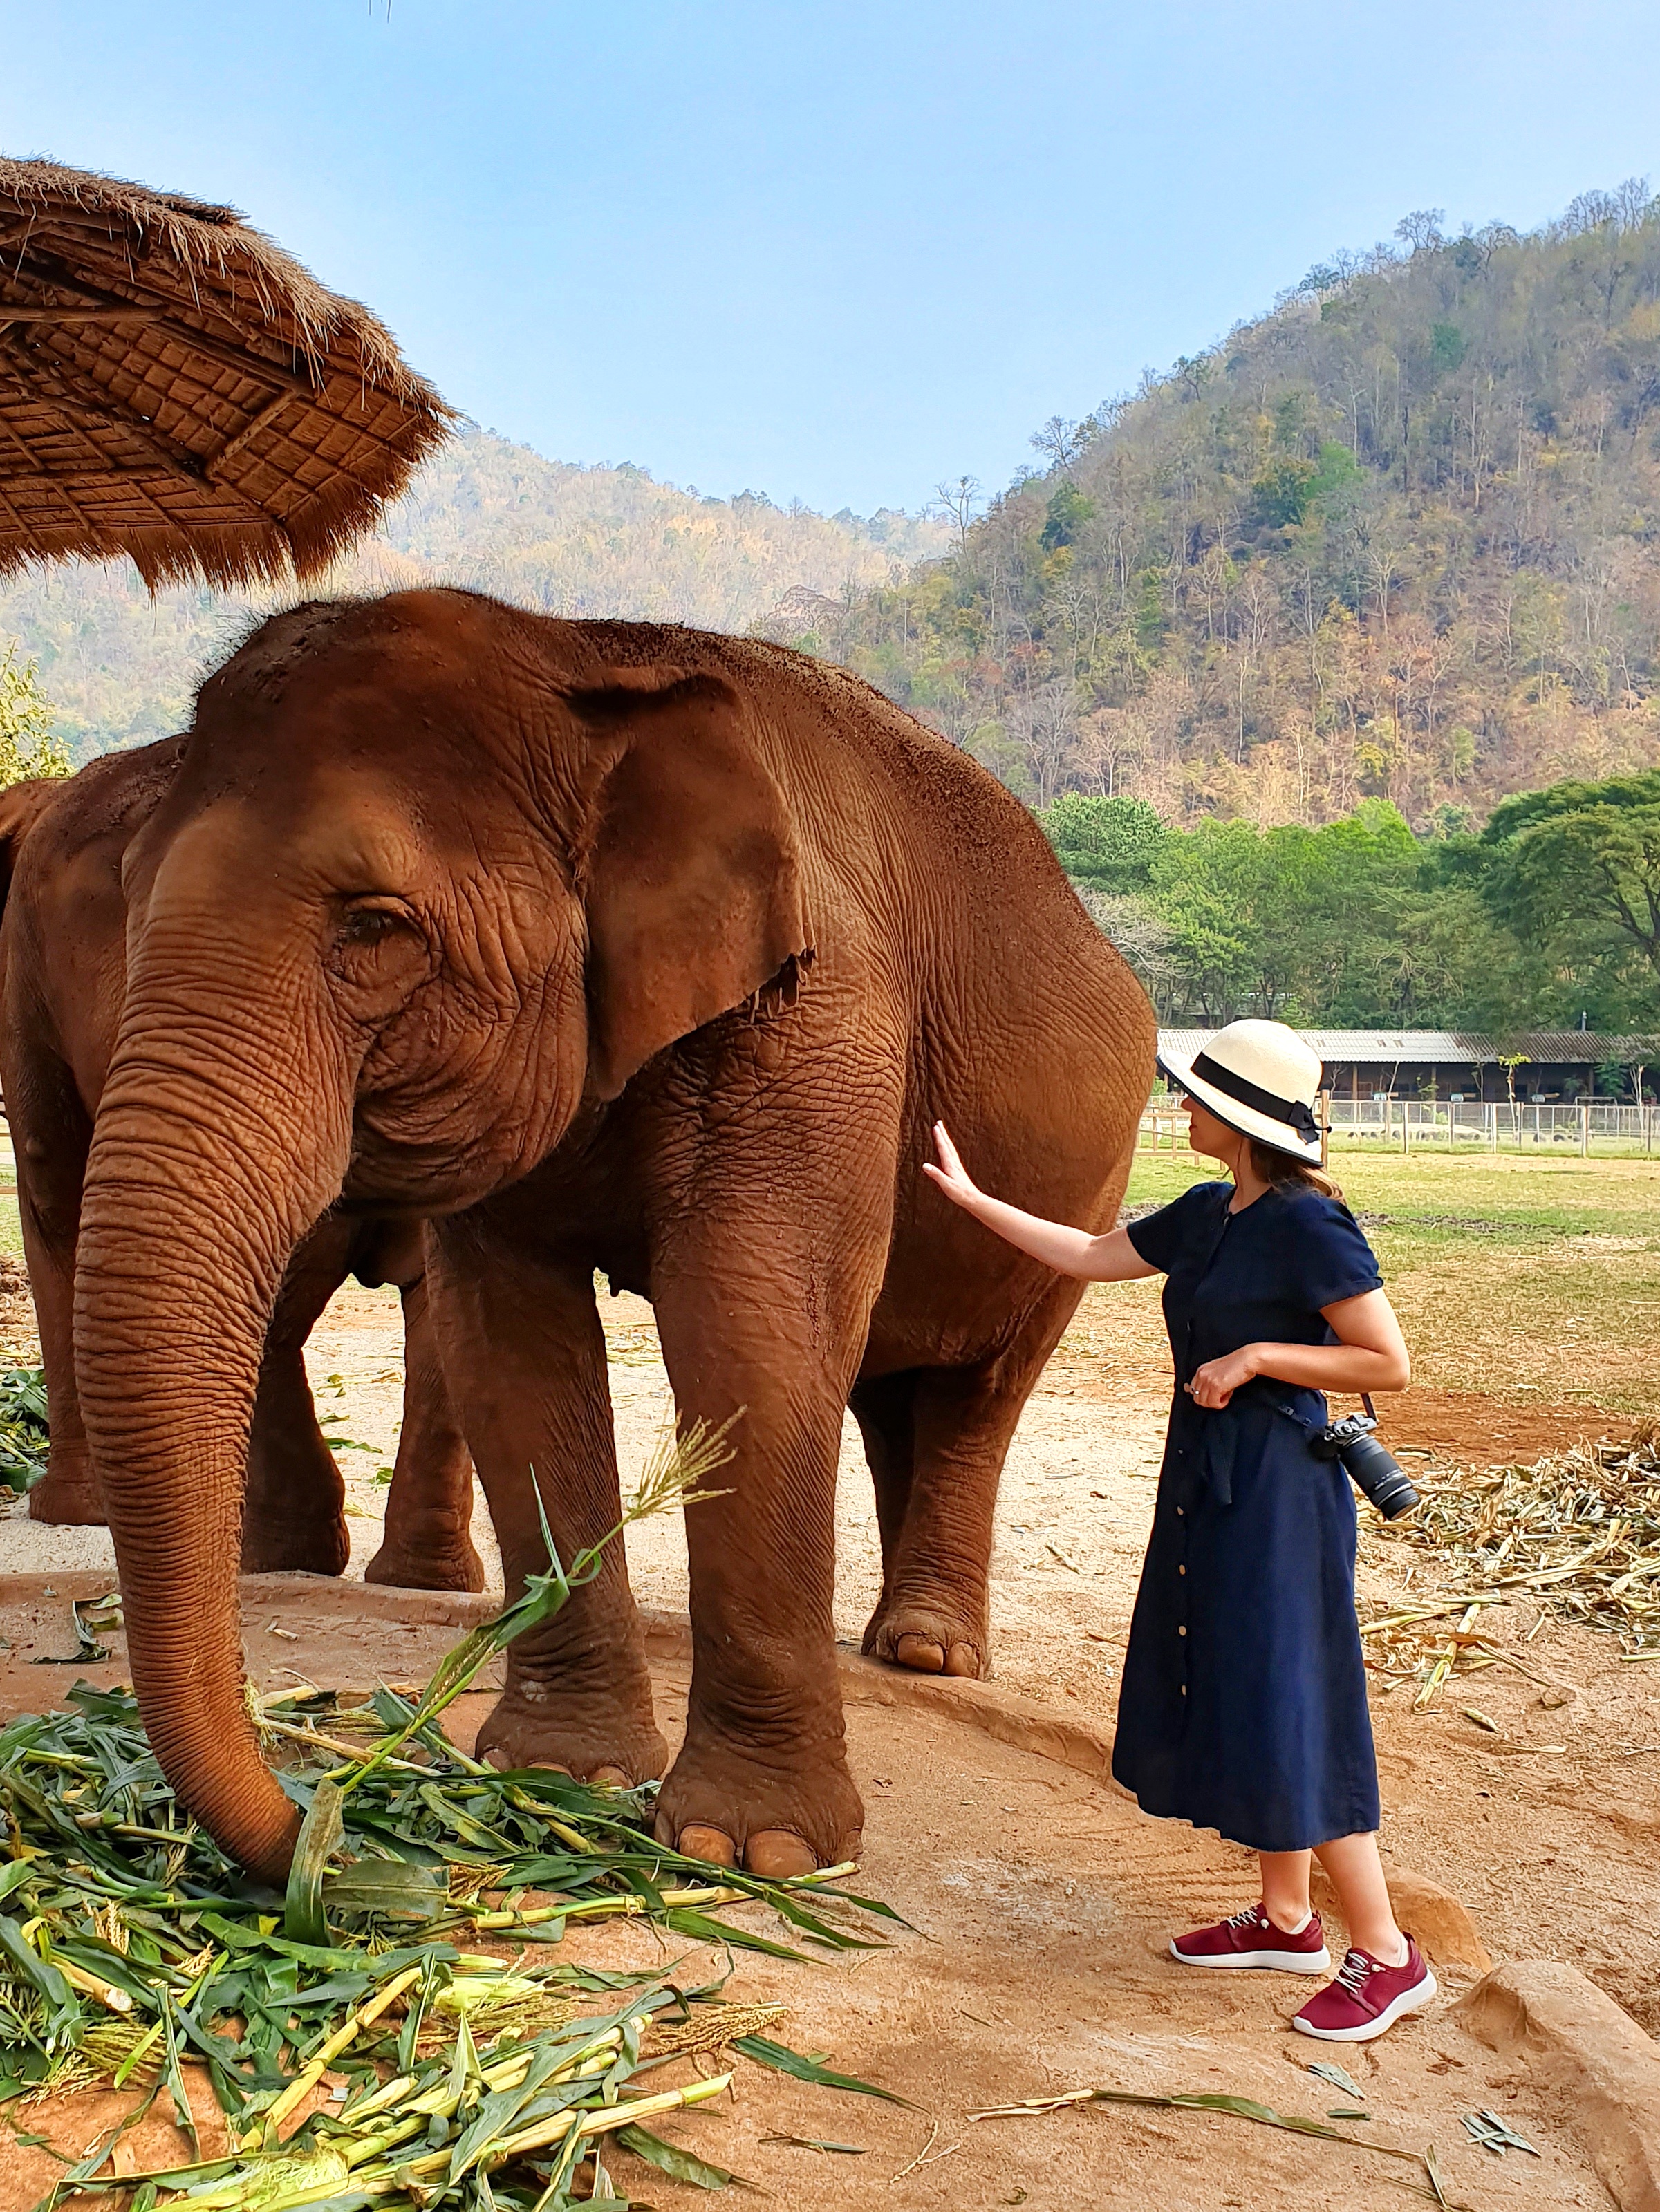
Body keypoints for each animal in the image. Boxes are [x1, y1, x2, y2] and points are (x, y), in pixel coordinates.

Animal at [68, 588, 1159, 1884]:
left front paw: (754, 1849)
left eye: (374, 926)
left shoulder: (820, 1020)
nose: (322, 1827)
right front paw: (563, 1777)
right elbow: (511, 1350)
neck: (582, 657)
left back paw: (930, 1652)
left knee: (978, 1394)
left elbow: (748, 1324)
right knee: (897, 1392)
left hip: (1088, 1195)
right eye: (131, 899)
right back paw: (892, 1645)